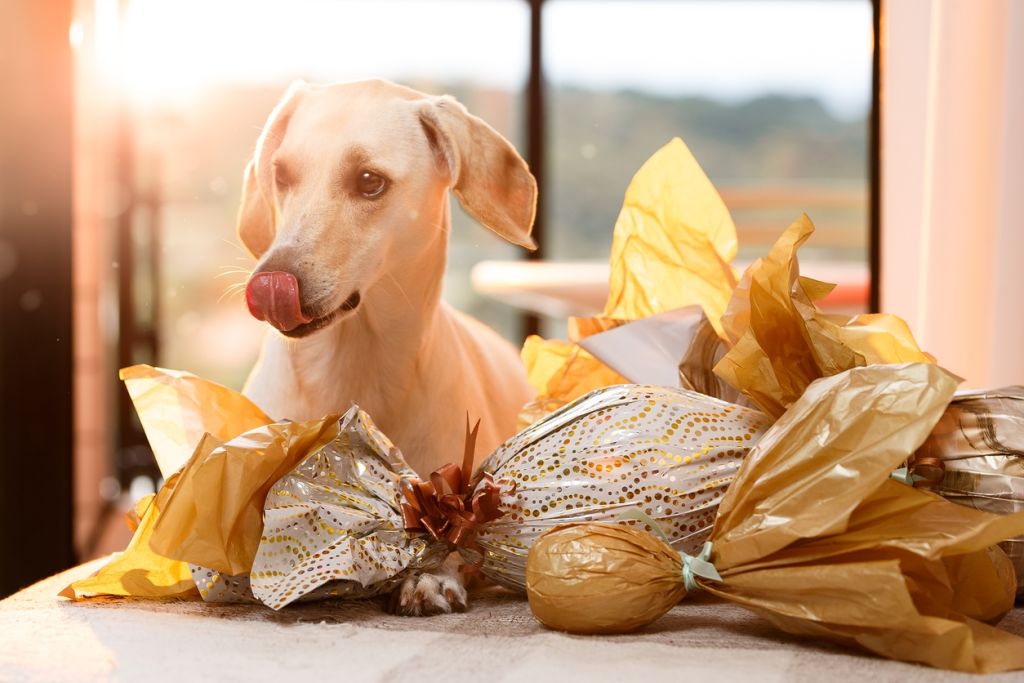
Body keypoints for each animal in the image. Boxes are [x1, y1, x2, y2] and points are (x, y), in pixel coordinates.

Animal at [233, 78, 536, 614]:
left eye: (370, 181)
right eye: (281, 174)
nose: (268, 284)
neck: (357, 364)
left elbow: (457, 540)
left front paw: (432, 574)